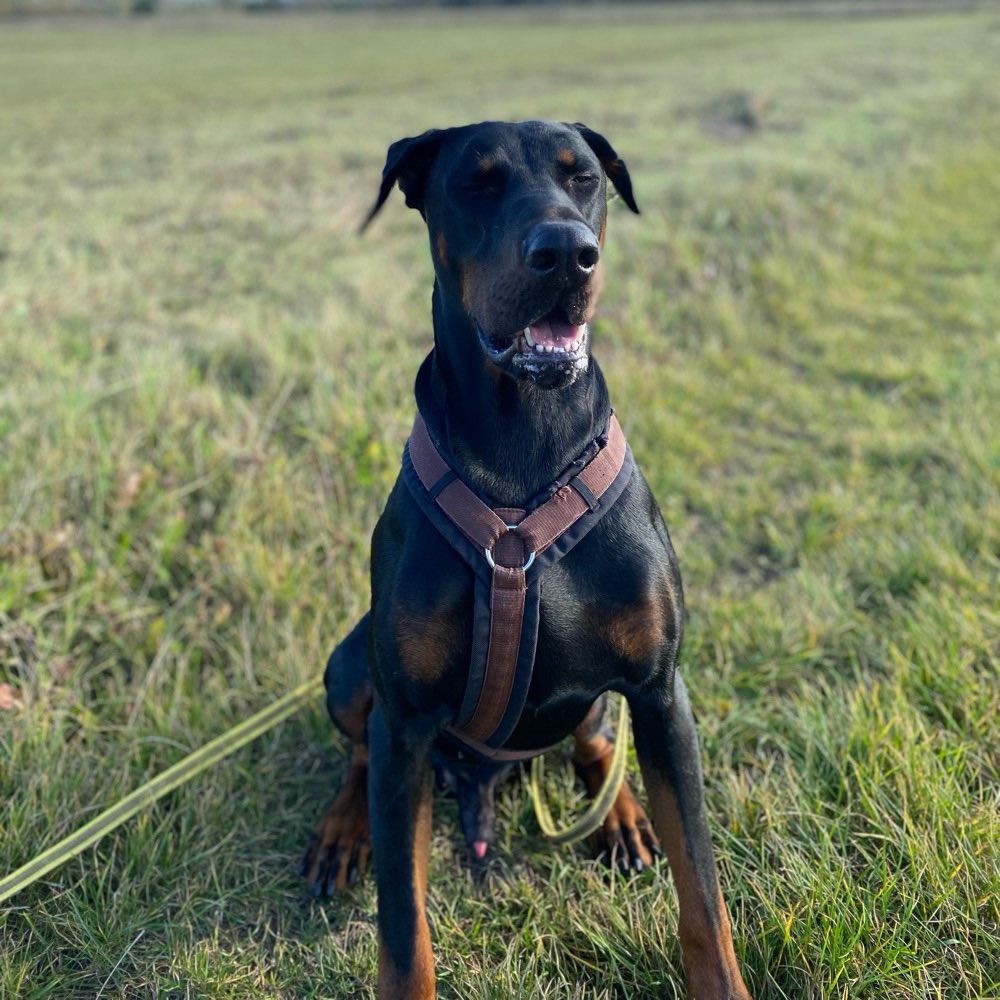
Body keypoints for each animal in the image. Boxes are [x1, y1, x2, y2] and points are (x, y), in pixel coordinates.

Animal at [300, 121, 752, 996]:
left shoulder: (661, 689)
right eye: (476, 184)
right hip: (349, 664)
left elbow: (704, 897)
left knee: (594, 733)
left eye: (585, 180)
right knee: (358, 749)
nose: (567, 253)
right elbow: (403, 930)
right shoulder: (406, 721)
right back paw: (343, 829)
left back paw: (620, 813)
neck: (524, 445)